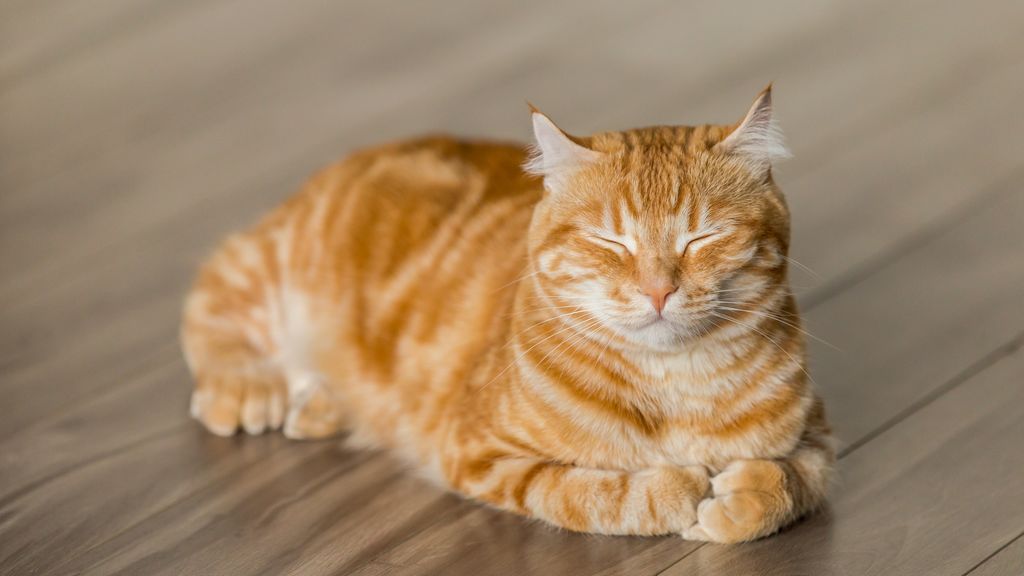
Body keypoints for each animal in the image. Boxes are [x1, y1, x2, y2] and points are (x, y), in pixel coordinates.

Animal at [184, 85, 835, 537]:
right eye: (610, 242)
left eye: (703, 237)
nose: (658, 291)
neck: (675, 386)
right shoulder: (484, 455)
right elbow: (596, 494)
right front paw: (680, 491)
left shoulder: (819, 437)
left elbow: (794, 481)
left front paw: (744, 498)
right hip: (272, 267)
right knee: (212, 299)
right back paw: (248, 386)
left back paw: (321, 405)